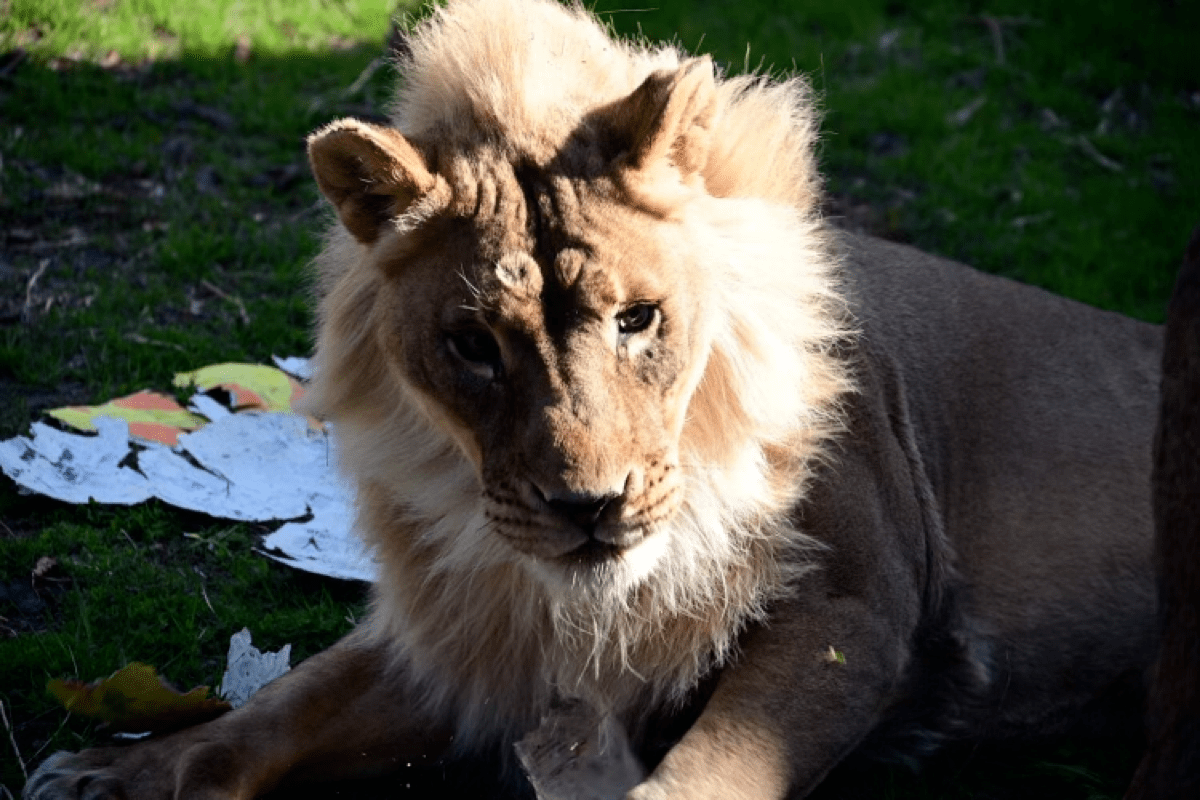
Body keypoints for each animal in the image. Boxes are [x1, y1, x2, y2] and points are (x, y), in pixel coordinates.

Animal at [25, 1, 1161, 800]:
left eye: (637, 319)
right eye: (472, 346)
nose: (589, 507)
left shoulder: (854, 607)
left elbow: (708, 776)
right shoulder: (471, 631)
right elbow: (282, 704)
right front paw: (119, 770)